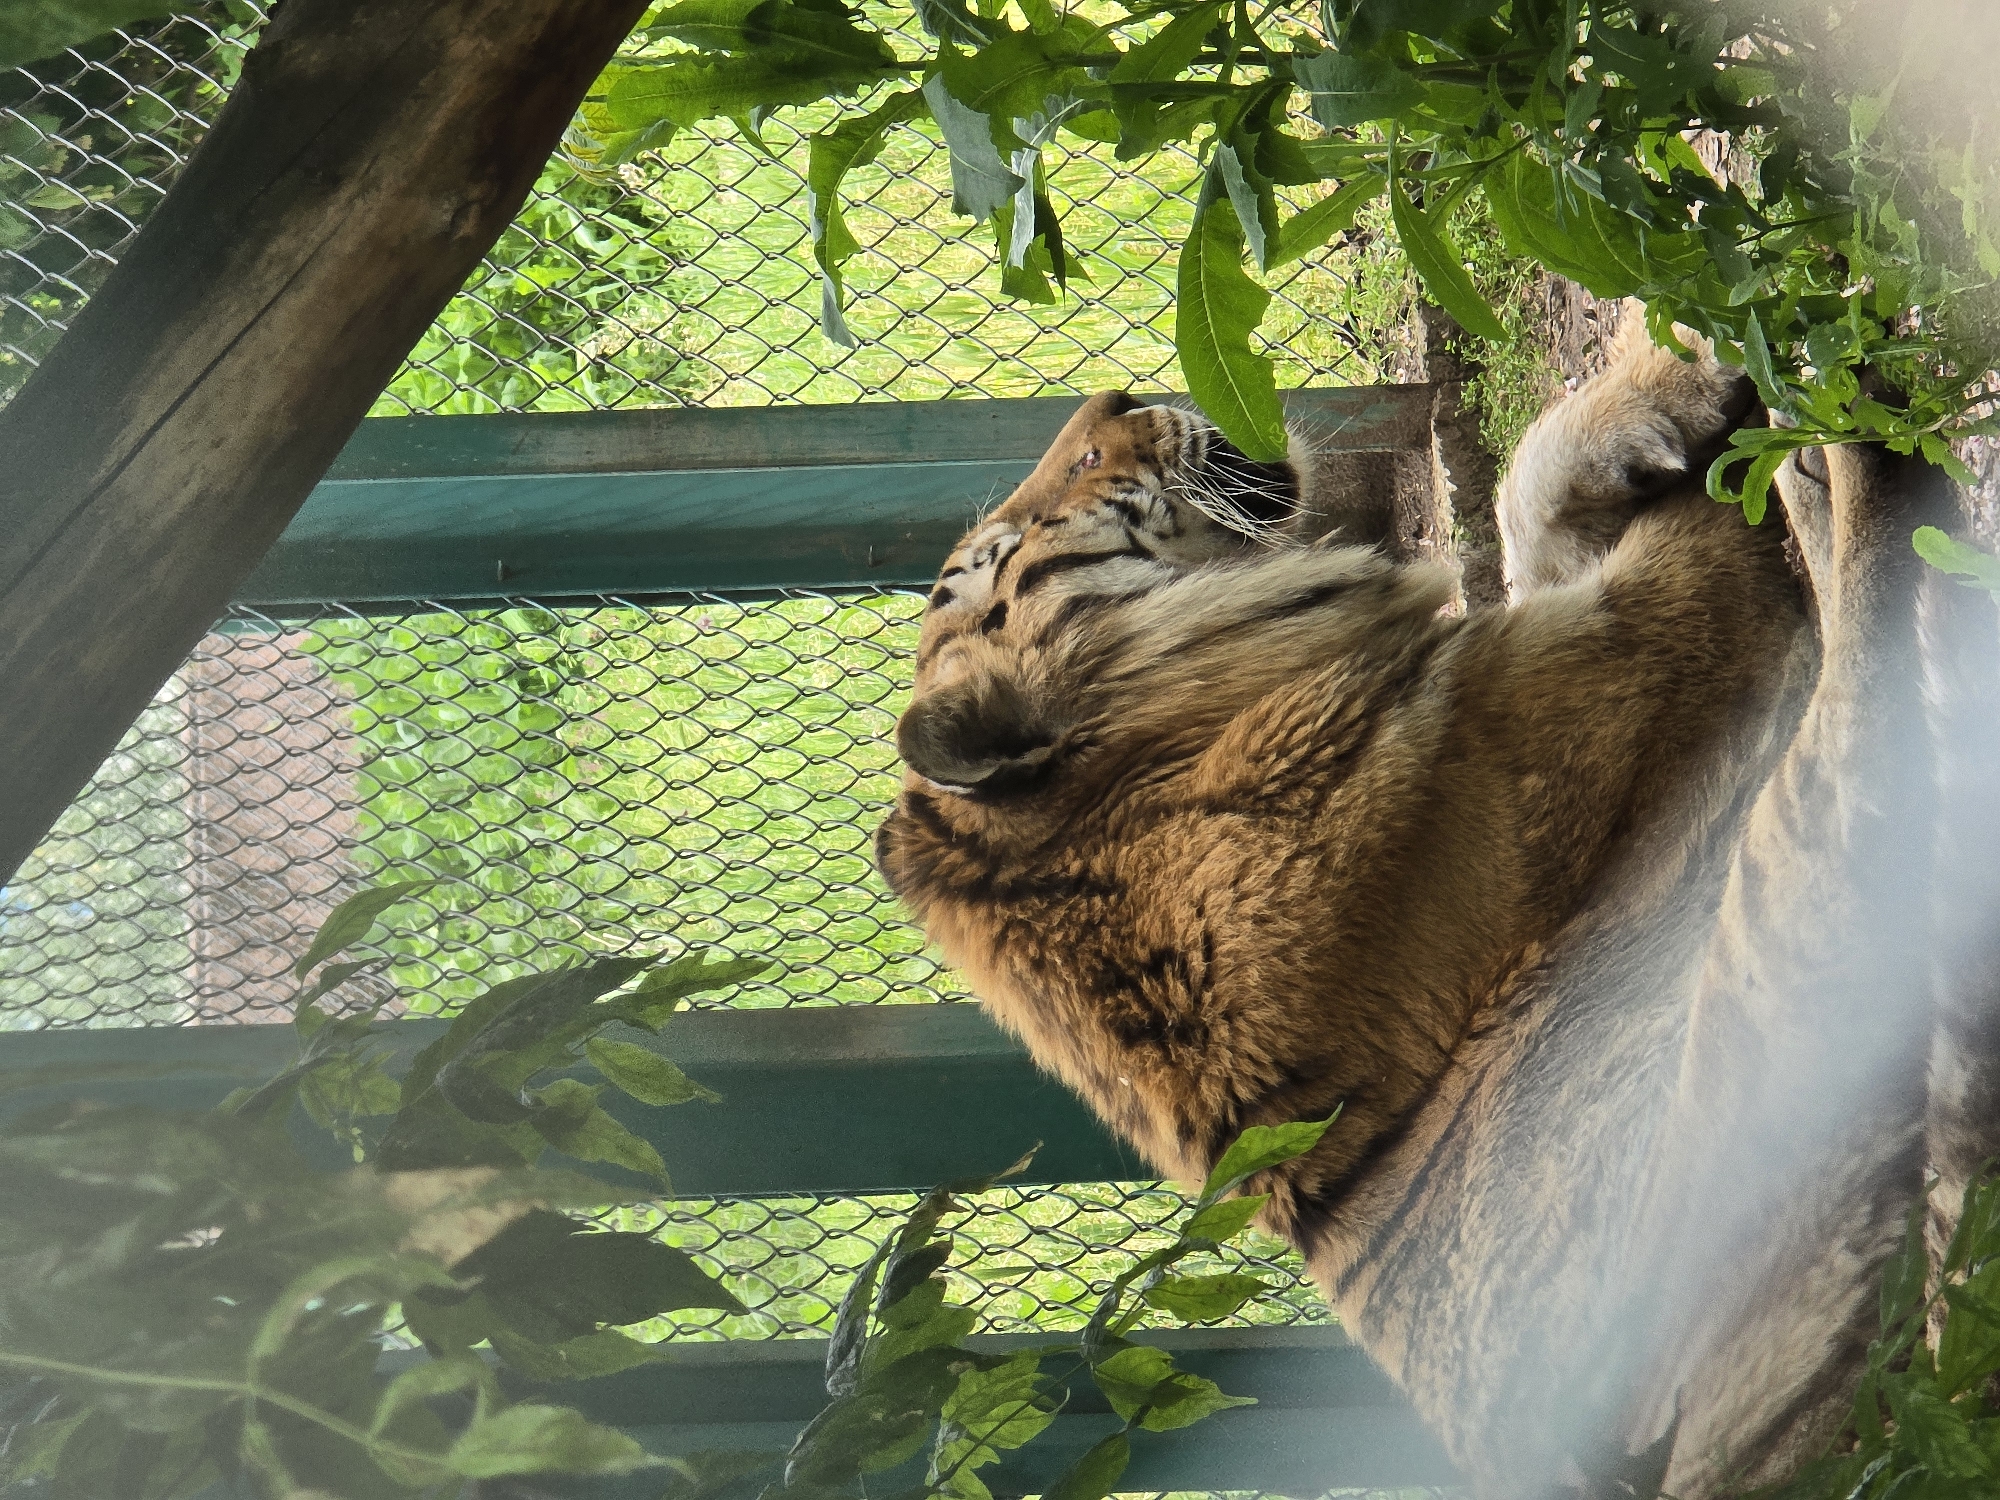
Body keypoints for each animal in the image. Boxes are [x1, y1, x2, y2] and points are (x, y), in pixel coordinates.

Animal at [873, 317, 1998, 1498]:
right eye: (1082, 467)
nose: (1113, 395)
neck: (1170, 741)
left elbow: (1517, 494)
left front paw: (1658, 385)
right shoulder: (1643, 637)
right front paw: (1704, 358)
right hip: (1789, 936)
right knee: (1879, 618)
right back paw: (1837, 421)